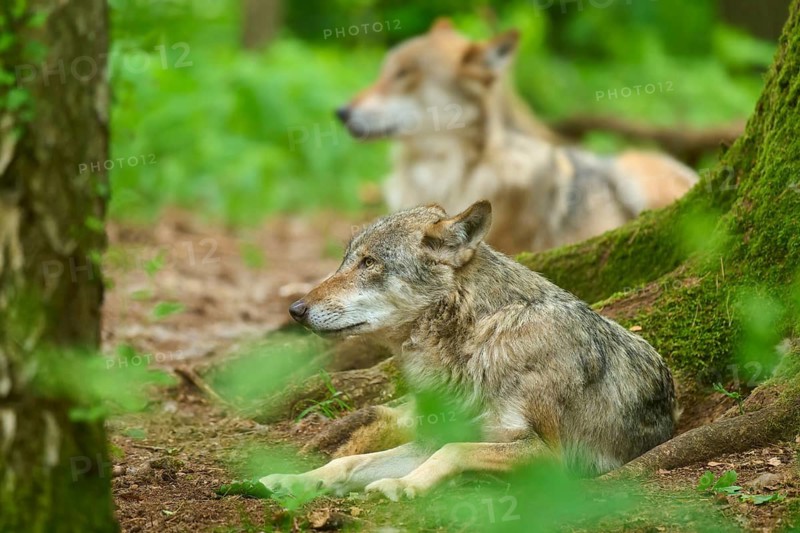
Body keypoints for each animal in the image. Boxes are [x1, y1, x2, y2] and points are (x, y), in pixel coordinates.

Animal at [259, 201, 678, 501]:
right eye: (346, 261)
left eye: (369, 263)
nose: (295, 309)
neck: (477, 345)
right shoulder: (429, 439)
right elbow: (348, 462)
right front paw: (293, 479)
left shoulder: (550, 457)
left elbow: (455, 450)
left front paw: (405, 486)